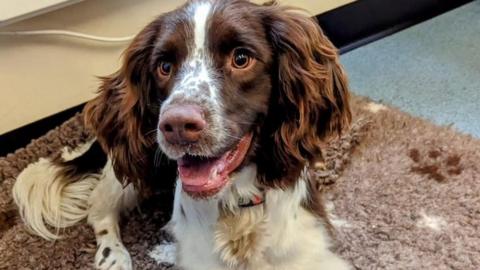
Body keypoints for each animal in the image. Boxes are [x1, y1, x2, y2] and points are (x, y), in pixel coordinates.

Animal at [13, 1, 352, 268]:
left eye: (241, 58)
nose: (176, 125)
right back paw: (115, 256)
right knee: (99, 208)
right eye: (164, 66)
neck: (238, 205)